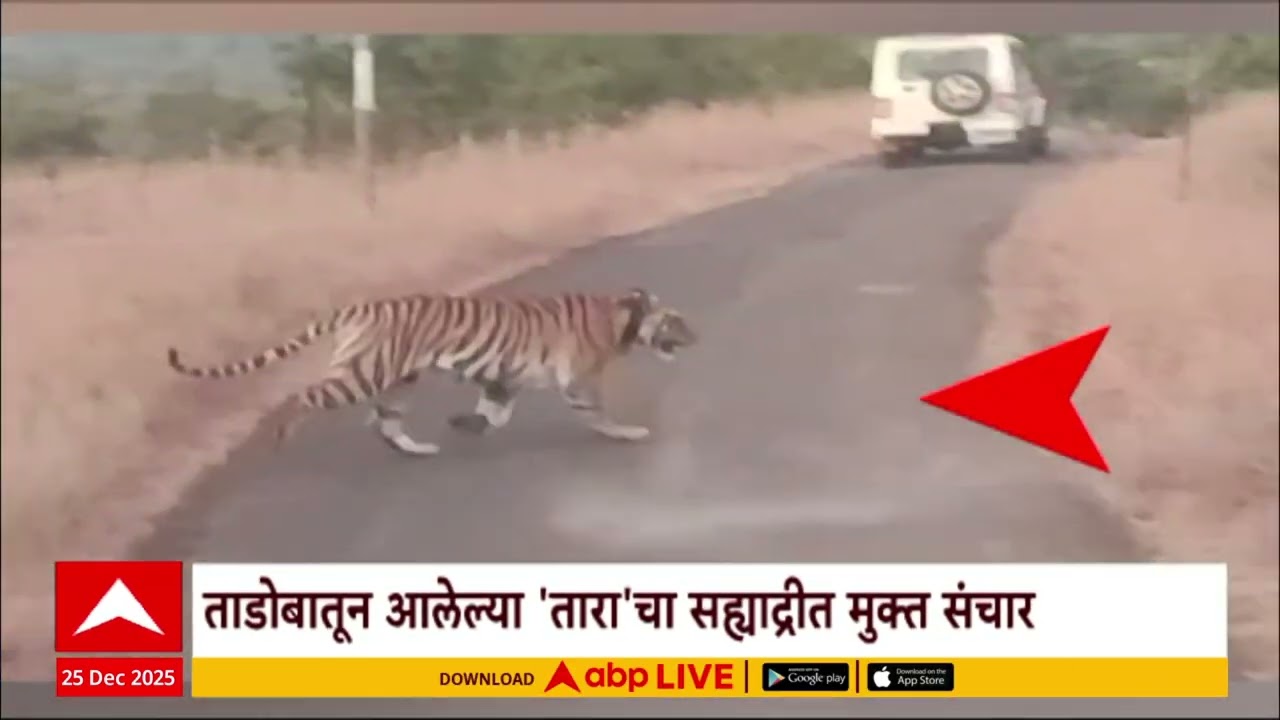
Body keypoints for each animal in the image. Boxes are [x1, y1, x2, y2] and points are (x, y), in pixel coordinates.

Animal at [166, 287, 697, 456]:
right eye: (677, 321)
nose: (698, 336)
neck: (622, 318)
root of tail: (359, 306)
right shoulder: (579, 379)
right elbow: (600, 414)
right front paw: (629, 432)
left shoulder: (503, 377)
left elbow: (493, 412)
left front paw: (465, 424)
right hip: (365, 373)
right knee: (304, 396)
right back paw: (282, 434)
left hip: (399, 379)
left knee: (386, 422)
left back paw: (418, 448)